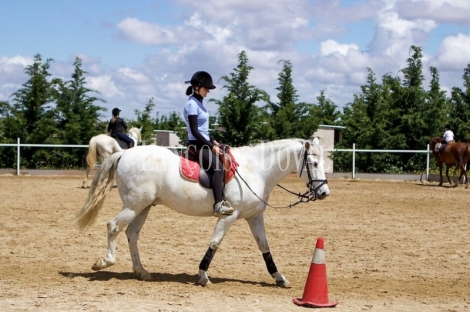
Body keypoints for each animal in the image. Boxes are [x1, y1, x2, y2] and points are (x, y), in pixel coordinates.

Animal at [75, 139, 328, 288]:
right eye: (314, 163)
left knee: (132, 234)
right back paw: (104, 262)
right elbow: (215, 242)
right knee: (113, 227)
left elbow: (264, 247)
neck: (255, 169)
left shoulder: (254, 216)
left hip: (143, 207)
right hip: (133, 205)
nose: (324, 192)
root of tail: (125, 154)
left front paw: (280, 278)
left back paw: (142, 272)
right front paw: (203, 275)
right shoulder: (229, 216)